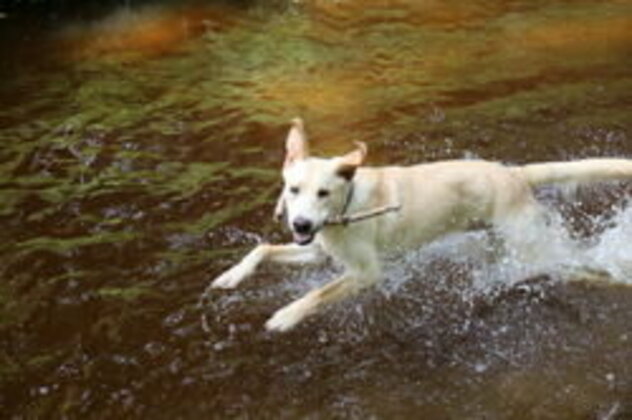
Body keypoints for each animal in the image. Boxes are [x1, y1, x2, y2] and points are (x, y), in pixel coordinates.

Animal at [211, 117, 632, 332]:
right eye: (293, 189)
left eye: (324, 193)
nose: (299, 224)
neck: (346, 206)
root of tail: (514, 173)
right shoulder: (315, 250)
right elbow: (262, 249)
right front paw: (230, 276)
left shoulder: (366, 273)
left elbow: (317, 294)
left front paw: (285, 316)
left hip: (530, 249)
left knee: (573, 266)